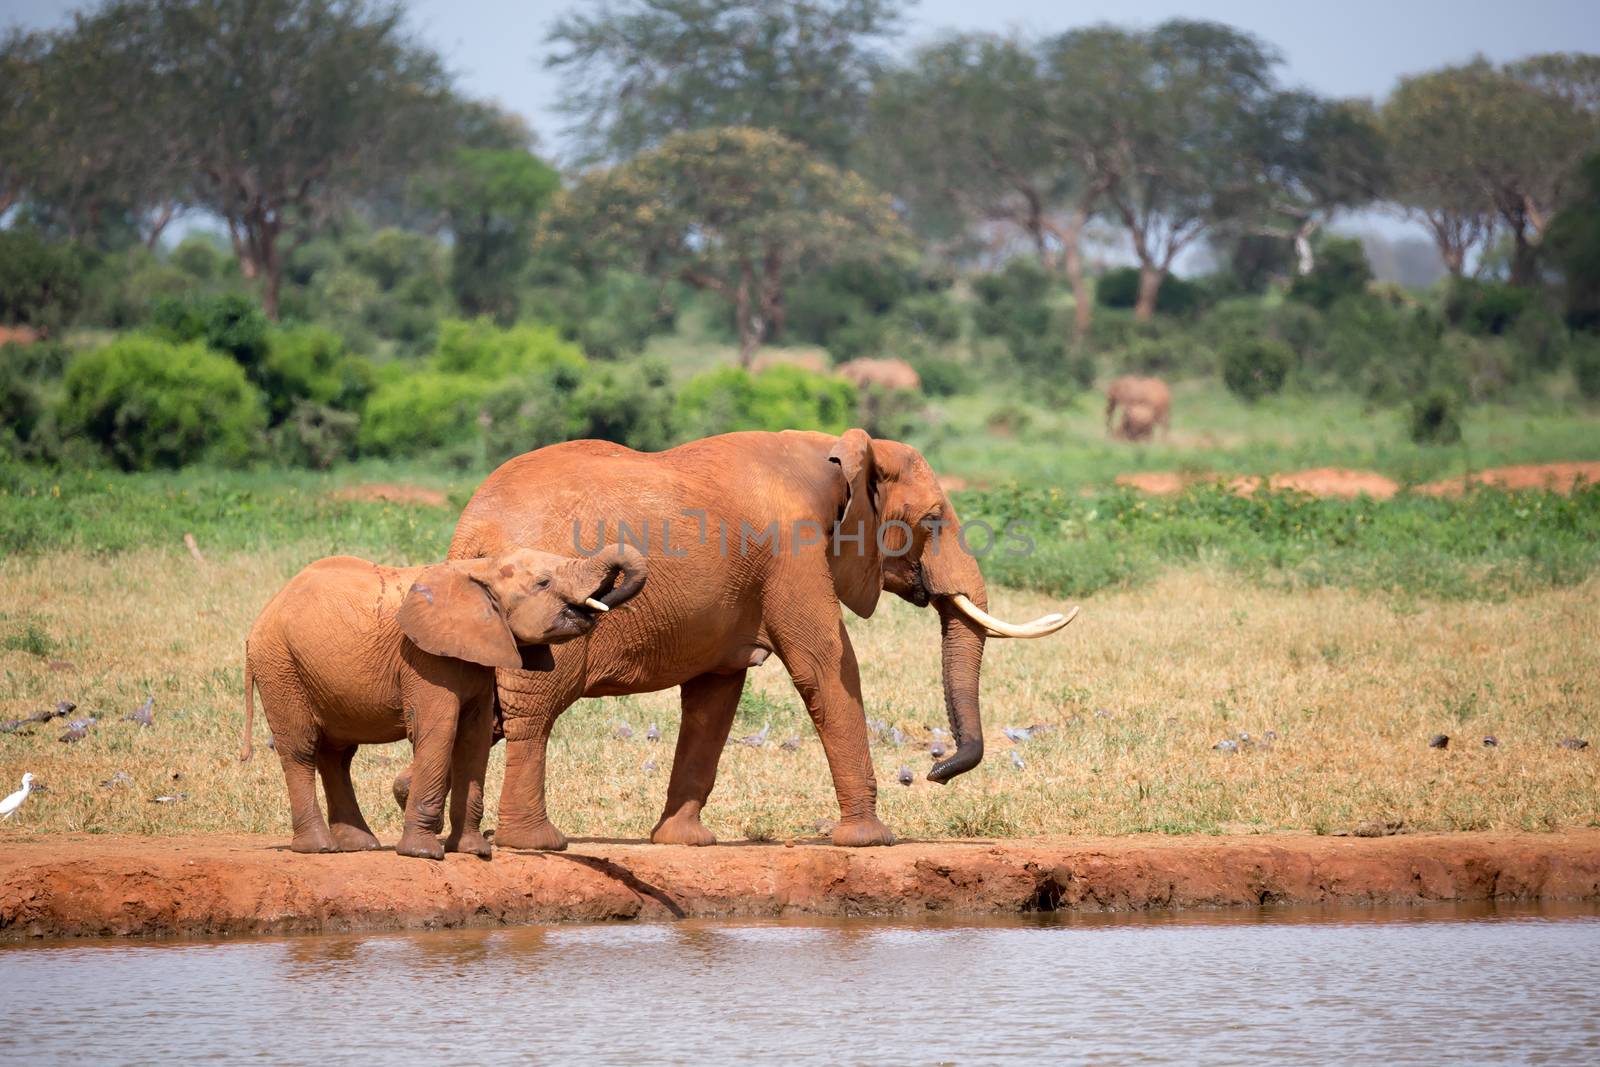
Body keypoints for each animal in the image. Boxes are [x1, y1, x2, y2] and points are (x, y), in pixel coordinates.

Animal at [243, 547, 643, 863]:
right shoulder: (425, 658)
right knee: (302, 748)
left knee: (337, 754)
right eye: (543, 583)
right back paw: (320, 848)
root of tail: (262, 616)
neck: (481, 569)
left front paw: (475, 851)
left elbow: (474, 738)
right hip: (281, 666)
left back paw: (359, 845)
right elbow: (439, 732)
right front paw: (423, 853)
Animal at [444, 428, 1081, 851]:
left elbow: (715, 697)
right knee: (534, 716)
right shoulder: (791, 553)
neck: (840, 451)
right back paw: (536, 844)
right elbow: (827, 666)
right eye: (931, 521)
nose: (933, 771)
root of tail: (470, 529)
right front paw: (871, 841)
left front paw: (685, 842)